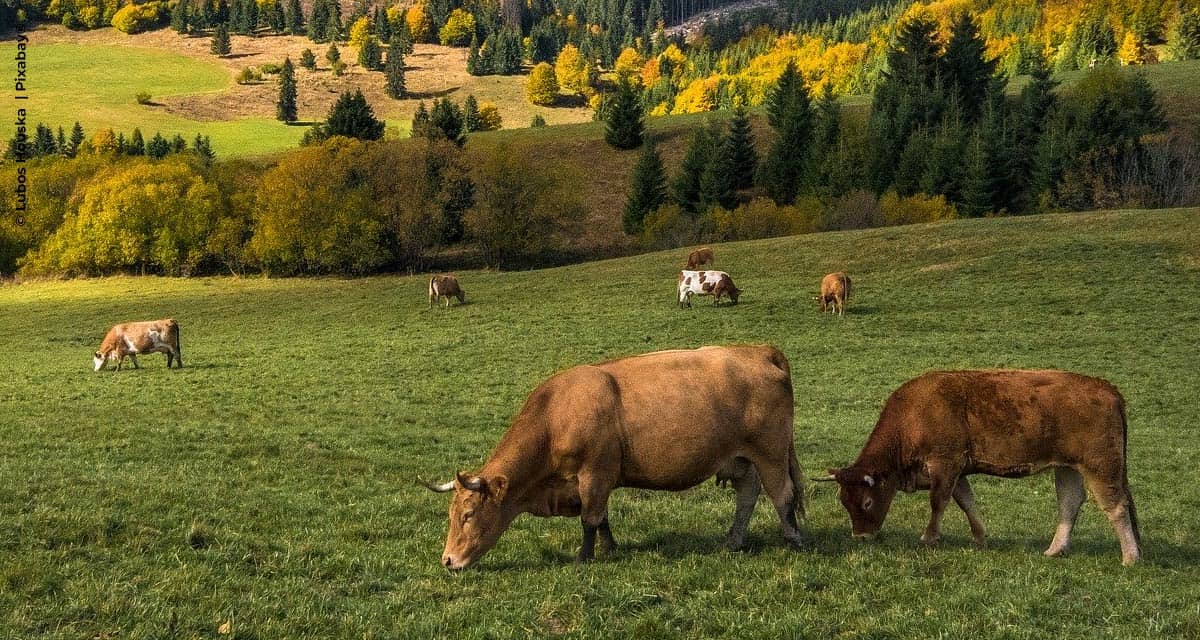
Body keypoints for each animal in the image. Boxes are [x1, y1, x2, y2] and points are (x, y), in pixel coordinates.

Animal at [422, 343, 806, 569]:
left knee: (782, 496)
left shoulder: (595, 474)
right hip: (743, 460)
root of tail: (757, 351)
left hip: (770, 454)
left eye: (469, 515)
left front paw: (584, 557)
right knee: (748, 497)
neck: (555, 414)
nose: (448, 560)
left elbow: (590, 519)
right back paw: (734, 541)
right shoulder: (595, 481)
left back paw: (793, 541)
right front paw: (610, 549)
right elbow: (602, 518)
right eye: (451, 514)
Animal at [816, 369, 1142, 564]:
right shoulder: (957, 472)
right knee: (1070, 502)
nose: (861, 537)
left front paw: (929, 538)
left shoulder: (945, 464)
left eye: (867, 502)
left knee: (1115, 506)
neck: (913, 415)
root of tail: (1107, 389)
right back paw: (1054, 549)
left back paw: (1130, 556)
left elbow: (938, 502)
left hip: (1101, 466)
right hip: (1068, 467)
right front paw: (981, 538)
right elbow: (966, 502)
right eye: (844, 501)